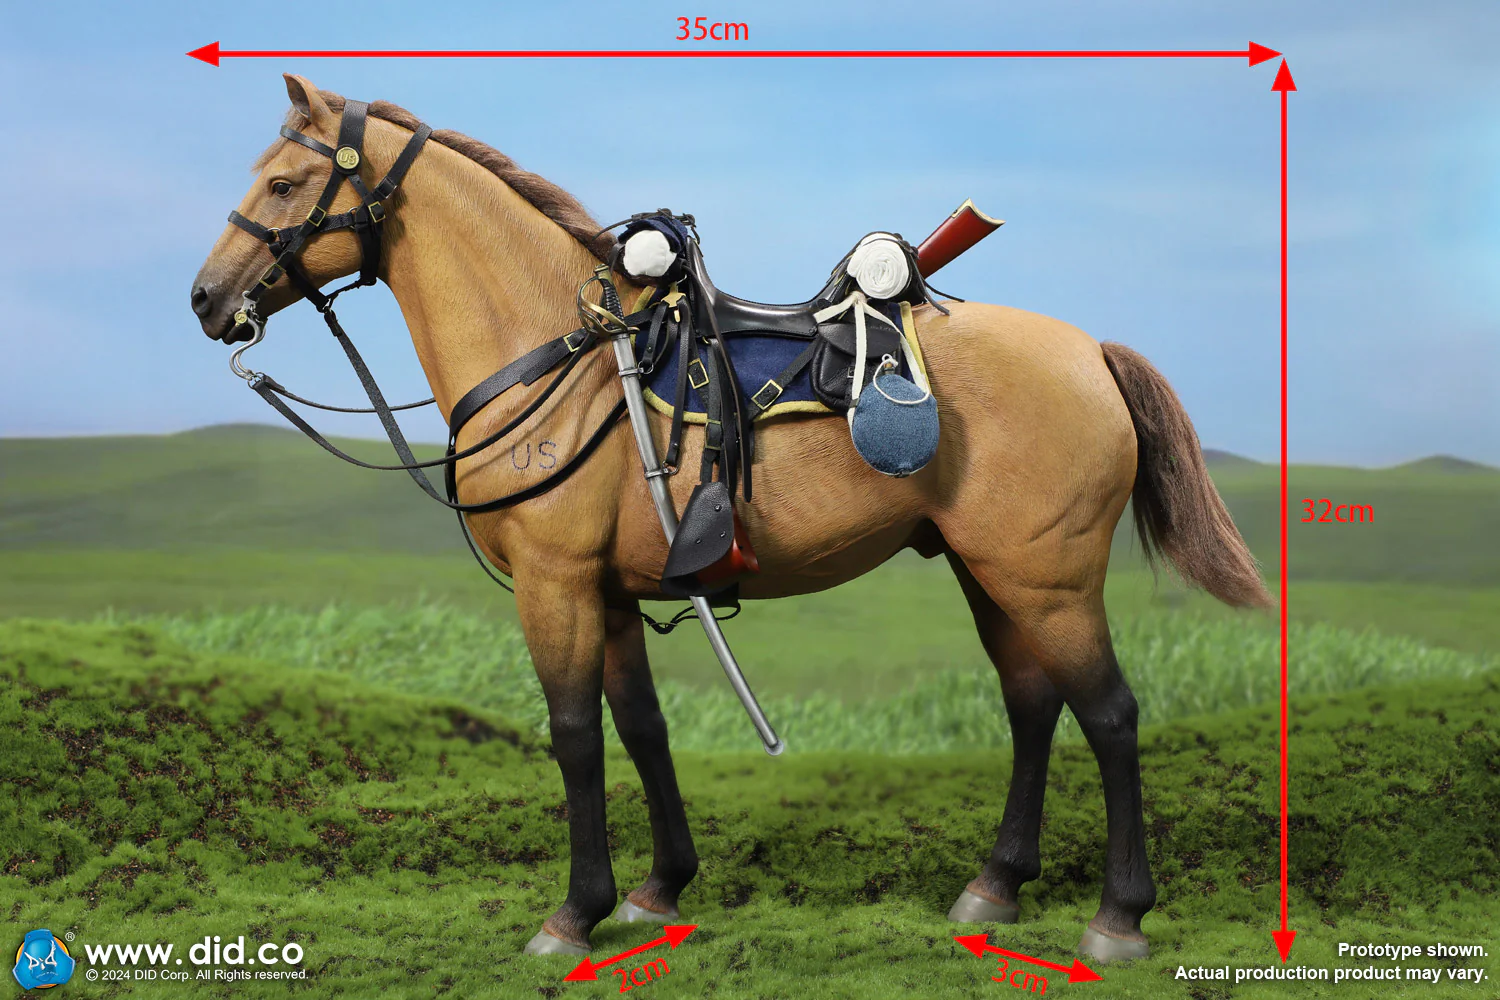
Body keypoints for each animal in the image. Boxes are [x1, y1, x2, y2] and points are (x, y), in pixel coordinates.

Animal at [190, 74, 1269, 964]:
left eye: (284, 183)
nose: (205, 298)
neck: (560, 352)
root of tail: (1091, 350)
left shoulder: (554, 583)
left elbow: (574, 734)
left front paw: (571, 914)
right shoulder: (610, 593)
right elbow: (643, 726)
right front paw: (657, 888)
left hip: (1048, 577)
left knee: (1111, 713)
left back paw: (1118, 916)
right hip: (989, 571)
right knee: (1034, 704)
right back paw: (995, 885)